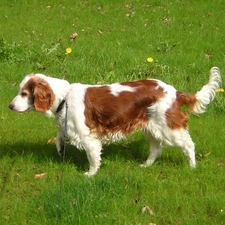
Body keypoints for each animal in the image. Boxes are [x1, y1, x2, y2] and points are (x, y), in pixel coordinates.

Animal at [9, 67, 221, 177]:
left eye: (24, 93)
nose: (10, 106)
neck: (65, 98)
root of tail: (175, 92)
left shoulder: (88, 137)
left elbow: (93, 158)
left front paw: (90, 174)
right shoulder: (68, 127)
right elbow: (59, 137)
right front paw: (61, 150)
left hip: (167, 128)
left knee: (188, 145)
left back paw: (192, 167)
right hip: (151, 128)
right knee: (156, 150)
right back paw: (146, 165)